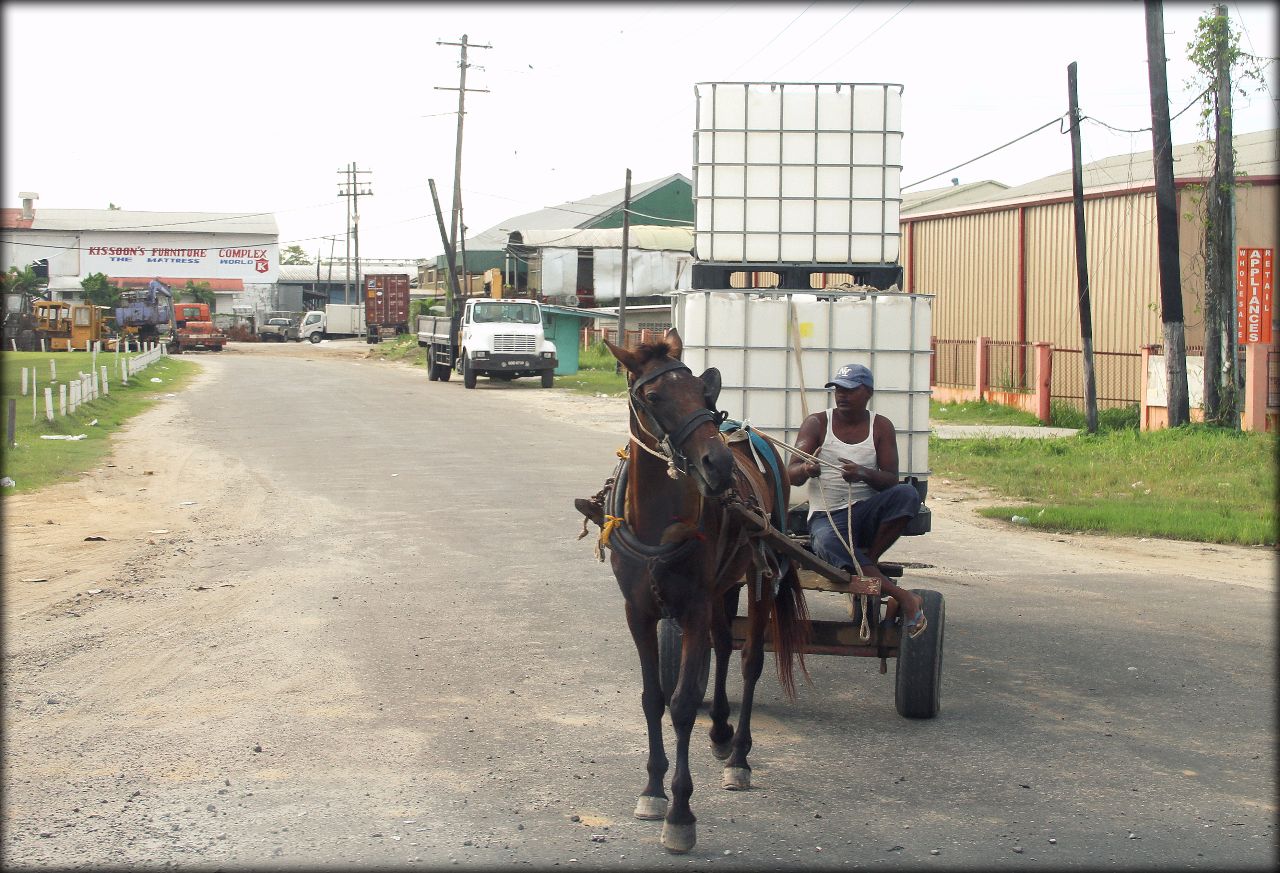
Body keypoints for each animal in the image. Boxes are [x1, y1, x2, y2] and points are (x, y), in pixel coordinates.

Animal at [591, 326, 808, 849]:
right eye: (653, 396)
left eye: (703, 392)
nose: (719, 465)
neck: (657, 519)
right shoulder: (639, 612)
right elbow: (653, 698)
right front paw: (652, 789)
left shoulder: (689, 609)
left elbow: (684, 702)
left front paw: (681, 813)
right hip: (722, 586)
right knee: (724, 645)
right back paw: (722, 731)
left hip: (758, 574)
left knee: (748, 662)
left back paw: (740, 756)